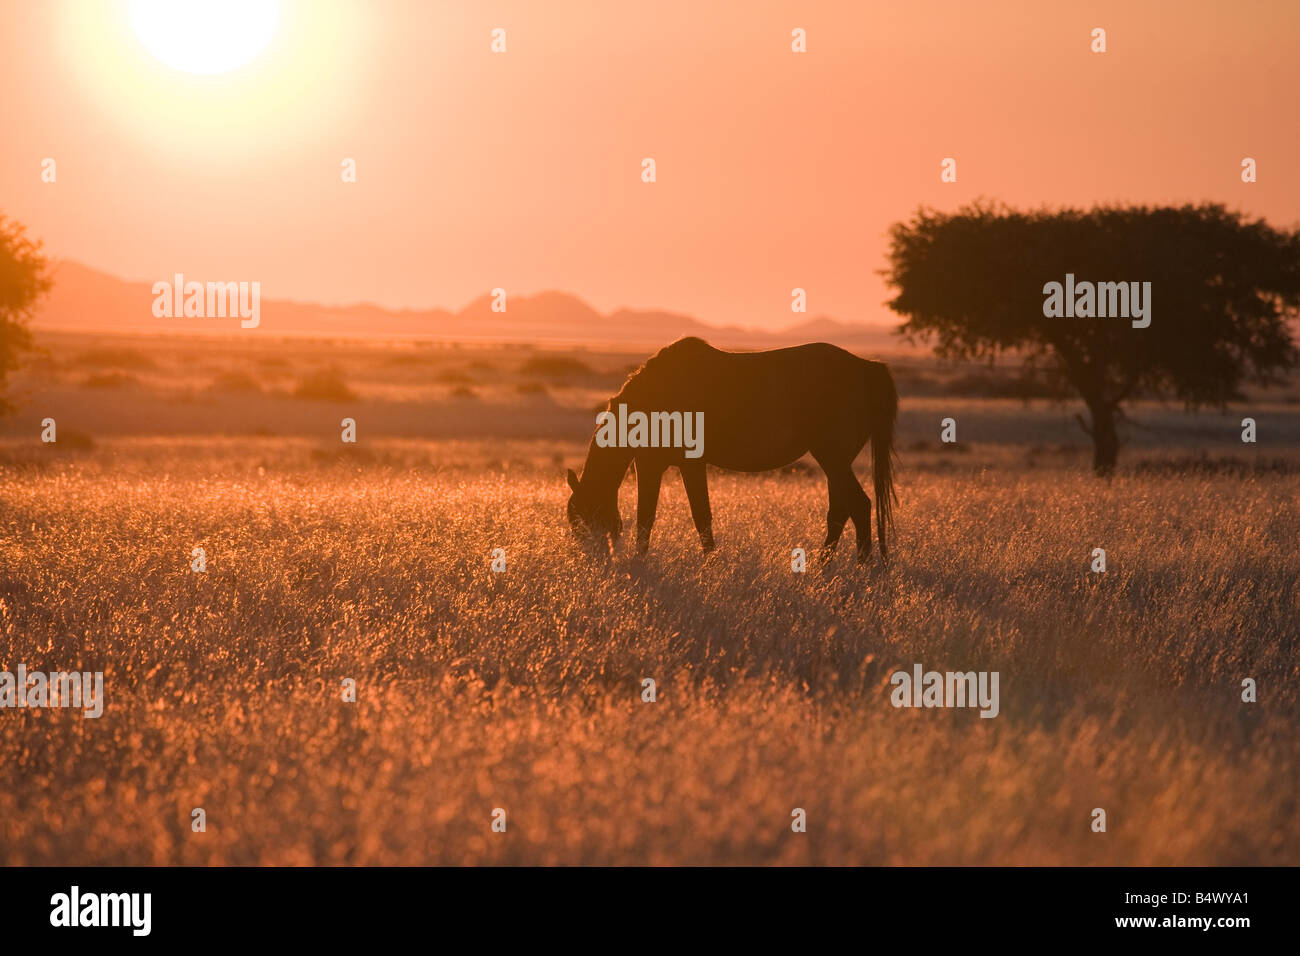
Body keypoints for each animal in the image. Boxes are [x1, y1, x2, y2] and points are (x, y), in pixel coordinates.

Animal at [564, 335, 899, 561]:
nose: (594, 561)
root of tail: (865, 368)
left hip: (833, 458)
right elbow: (694, 516)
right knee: (841, 510)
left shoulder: (660, 464)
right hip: (835, 462)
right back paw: (824, 569)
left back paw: (862, 568)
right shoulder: (679, 465)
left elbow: (660, 516)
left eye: (581, 521)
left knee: (858, 505)